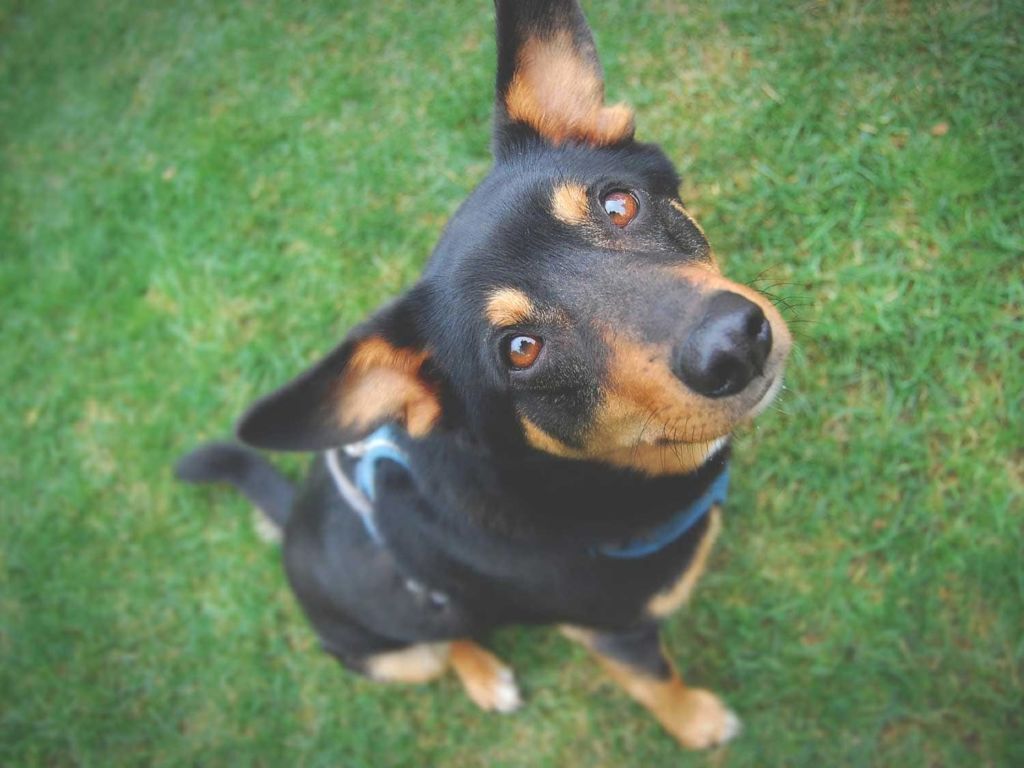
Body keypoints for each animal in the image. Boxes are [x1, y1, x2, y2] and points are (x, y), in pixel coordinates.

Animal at [178, 0, 790, 753]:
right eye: (520, 349)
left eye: (619, 204)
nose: (734, 344)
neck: (574, 483)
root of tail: (290, 525)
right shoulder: (613, 633)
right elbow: (657, 681)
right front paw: (699, 723)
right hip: (393, 653)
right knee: (446, 644)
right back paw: (485, 675)